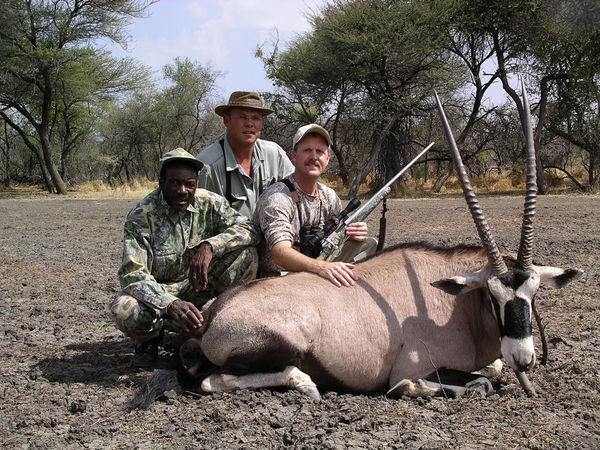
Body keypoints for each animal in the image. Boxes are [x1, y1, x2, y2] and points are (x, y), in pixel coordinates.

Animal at [130, 81, 582, 408]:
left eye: (533, 293)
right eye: (491, 294)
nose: (524, 358)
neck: (451, 301)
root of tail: (210, 316)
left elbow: (494, 370)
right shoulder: (413, 366)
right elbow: (471, 383)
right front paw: (430, 390)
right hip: (281, 344)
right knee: (216, 380)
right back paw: (306, 385)